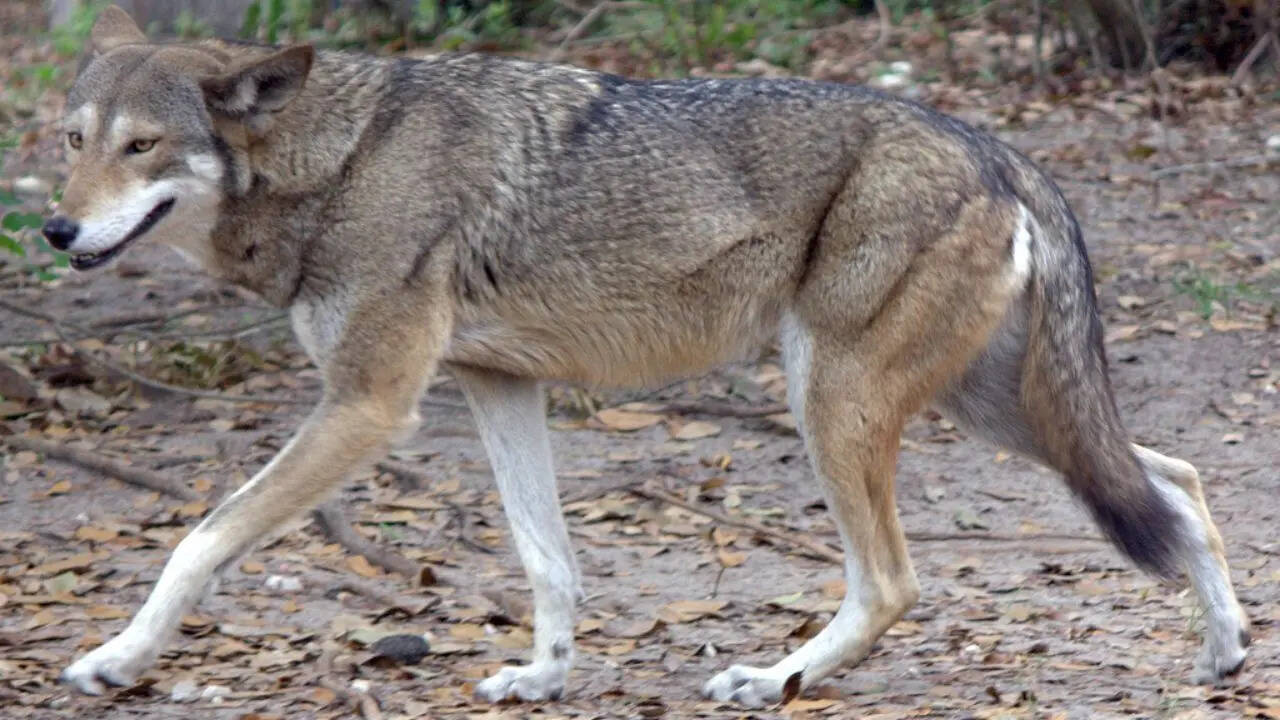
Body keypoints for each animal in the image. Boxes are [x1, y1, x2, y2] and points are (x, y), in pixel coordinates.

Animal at [49, 5, 1249, 706]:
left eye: (142, 146)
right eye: (71, 140)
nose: (57, 231)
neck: (339, 162)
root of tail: (994, 145)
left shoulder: (368, 404)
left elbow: (200, 539)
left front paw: (118, 659)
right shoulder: (496, 387)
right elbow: (548, 559)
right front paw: (544, 675)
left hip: (837, 403)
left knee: (895, 581)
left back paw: (773, 677)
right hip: (990, 410)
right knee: (1177, 479)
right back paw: (1225, 652)